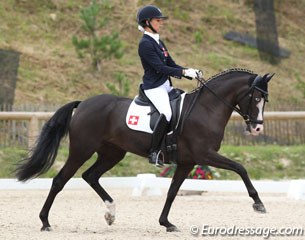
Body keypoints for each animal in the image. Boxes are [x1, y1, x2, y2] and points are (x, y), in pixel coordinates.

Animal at [15, 68, 274, 232]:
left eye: (265, 100)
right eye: (256, 97)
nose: (257, 127)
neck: (206, 108)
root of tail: (84, 103)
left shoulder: (188, 162)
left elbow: (172, 191)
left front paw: (166, 223)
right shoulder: (204, 155)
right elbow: (240, 168)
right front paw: (258, 203)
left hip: (112, 153)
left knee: (91, 176)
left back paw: (111, 213)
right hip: (81, 150)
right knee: (60, 180)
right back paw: (45, 222)